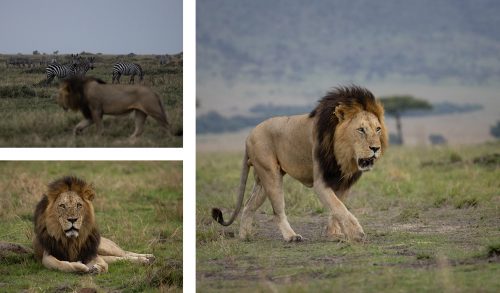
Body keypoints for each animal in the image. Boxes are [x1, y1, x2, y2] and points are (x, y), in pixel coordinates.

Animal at [213, 84, 388, 242]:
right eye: (361, 130)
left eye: (378, 129)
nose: (375, 148)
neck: (344, 155)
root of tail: (249, 135)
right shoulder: (321, 181)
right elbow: (339, 207)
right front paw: (356, 233)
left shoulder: (344, 181)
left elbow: (337, 208)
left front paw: (332, 234)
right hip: (270, 173)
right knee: (277, 210)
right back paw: (291, 236)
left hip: (261, 180)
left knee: (248, 205)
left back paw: (245, 237)